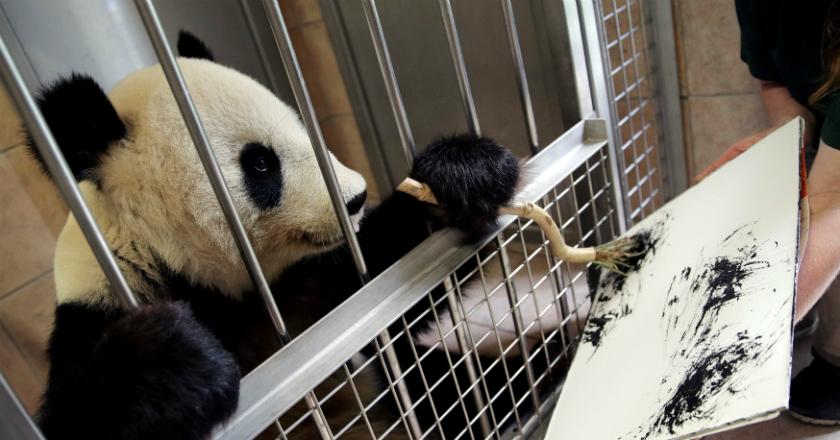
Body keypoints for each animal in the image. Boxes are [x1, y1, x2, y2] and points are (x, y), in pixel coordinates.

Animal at [28, 32, 533, 440]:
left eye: (303, 127)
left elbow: (392, 298)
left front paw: (460, 173)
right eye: (260, 163)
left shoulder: (315, 280)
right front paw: (168, 361)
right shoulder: (99, 306)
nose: (355, 198)